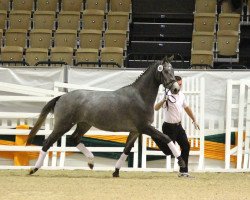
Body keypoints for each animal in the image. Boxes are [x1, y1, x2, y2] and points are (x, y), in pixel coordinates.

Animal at [26, 55, 186, 175]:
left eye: (173, 70)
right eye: (165, 71)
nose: (176, 89)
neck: (140, 96)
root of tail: (61, 97)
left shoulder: (135, 131)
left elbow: (126, 149)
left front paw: (116, 172)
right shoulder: (145, 127)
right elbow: (167, 138)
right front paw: (181, 162)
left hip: (84, 124)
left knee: (74, 138)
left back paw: (91, 162)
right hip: (63, 125)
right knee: (48, 142)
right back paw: (34, 169)